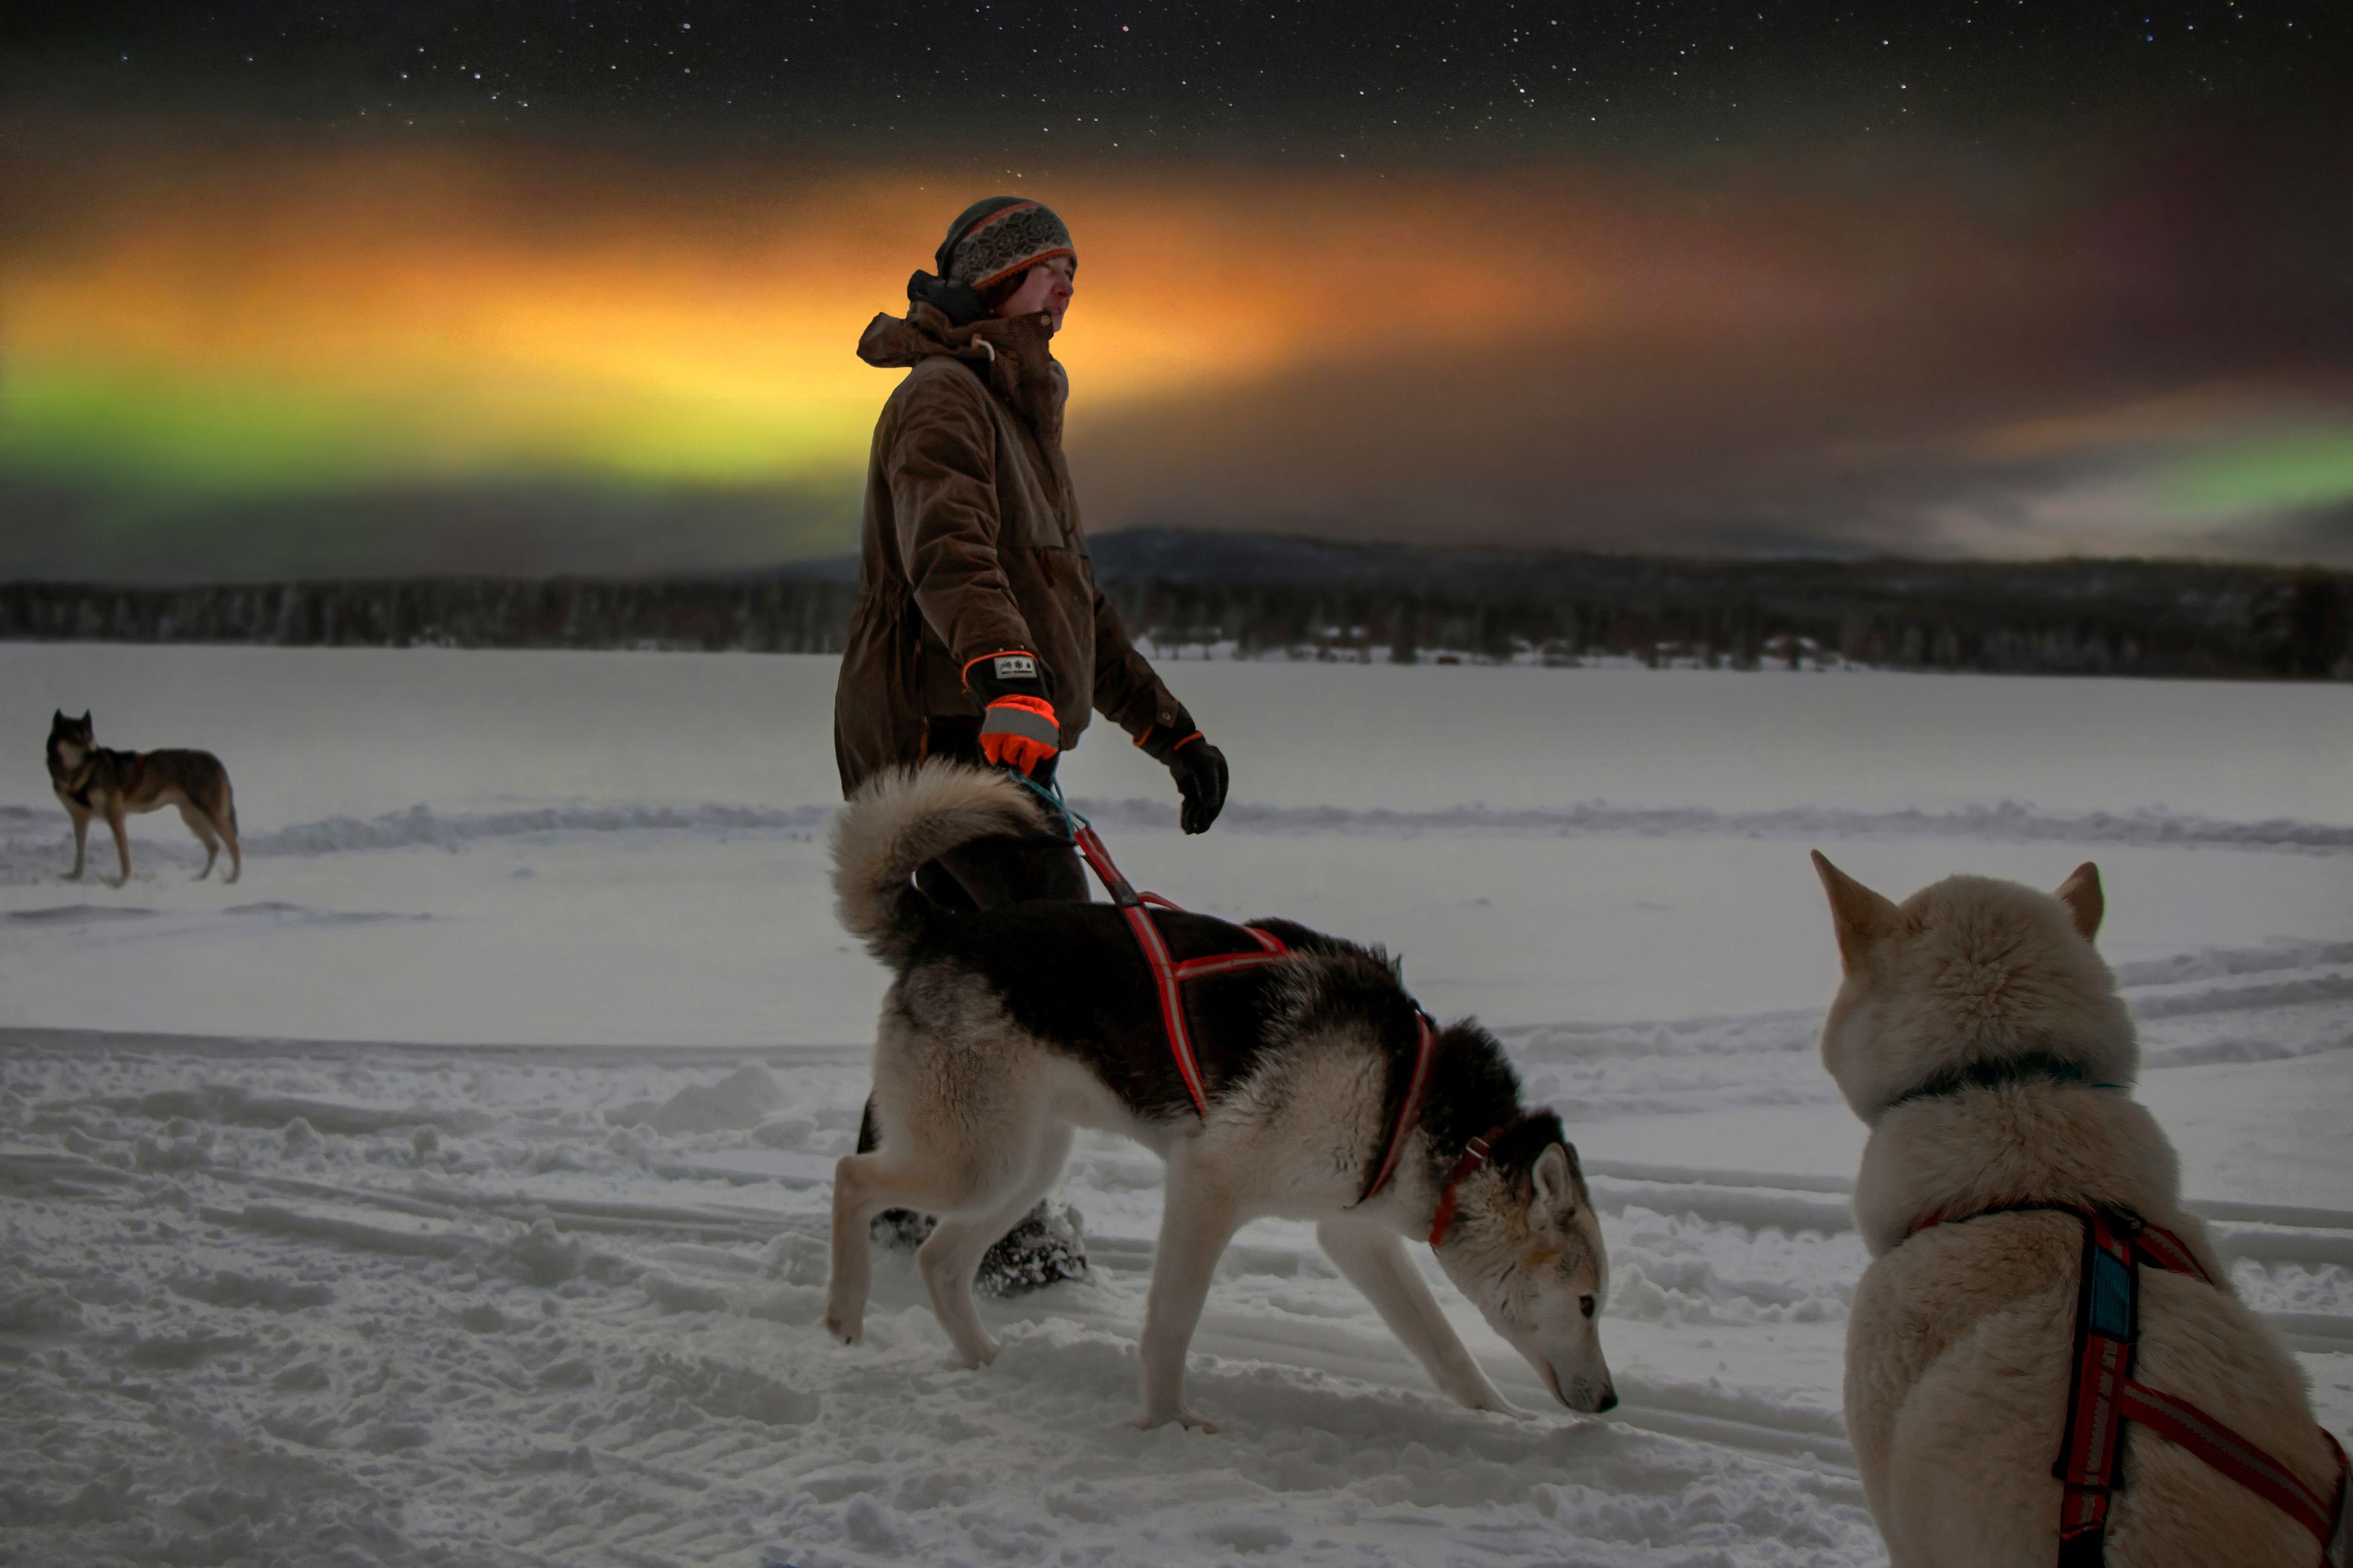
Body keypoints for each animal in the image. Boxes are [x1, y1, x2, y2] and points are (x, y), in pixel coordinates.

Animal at [46, 710, 241, 884]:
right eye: (74, 738)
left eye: (88, 738)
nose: (92, 754)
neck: (82, 774)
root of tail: (216, 762)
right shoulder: (79, 818)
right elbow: (80, 853)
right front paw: (74, 877)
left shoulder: (115, 816)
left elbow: (123, 854)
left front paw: (121, 882)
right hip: (192, 819)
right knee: (214, 847)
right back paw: (201, 877)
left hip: (214, 817)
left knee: (234, 846)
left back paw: (233, 879)